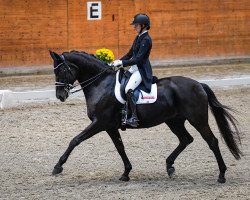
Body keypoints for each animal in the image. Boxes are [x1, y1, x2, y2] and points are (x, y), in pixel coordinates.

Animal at [48, 49, 242, 183]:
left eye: (62, 71)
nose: (60, 96)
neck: (101, 84)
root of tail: (199, 84)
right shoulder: (110, 127)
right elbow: (120, 148)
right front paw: (126, 173)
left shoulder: (100, 123)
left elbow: (75, 140)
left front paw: (58, 166)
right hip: (174, 121)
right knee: (186, 139)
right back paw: (169, 166)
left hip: (197, 119)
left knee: (212, 142)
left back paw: (221, 175)